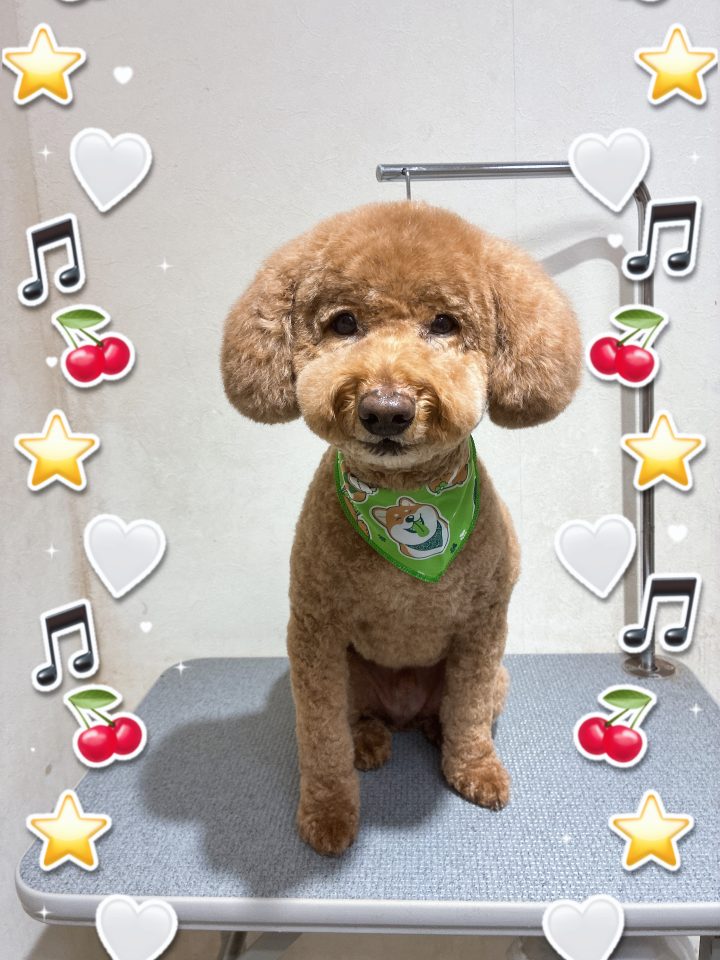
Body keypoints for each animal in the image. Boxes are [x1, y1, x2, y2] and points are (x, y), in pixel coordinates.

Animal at [221, 199, 581, 855]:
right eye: (343, 323)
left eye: (444, 323)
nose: (386, 410)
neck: (407, 495)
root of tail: (405, 711)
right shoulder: (313, 632)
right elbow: (320, 737)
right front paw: (329, 813)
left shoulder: (483, 628)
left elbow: (469, 712)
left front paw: (474, 770)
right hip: (351, 677)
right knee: (353, 719)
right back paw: (368, 740)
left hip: (498, 674)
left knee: (460, 708)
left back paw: (437, 733)